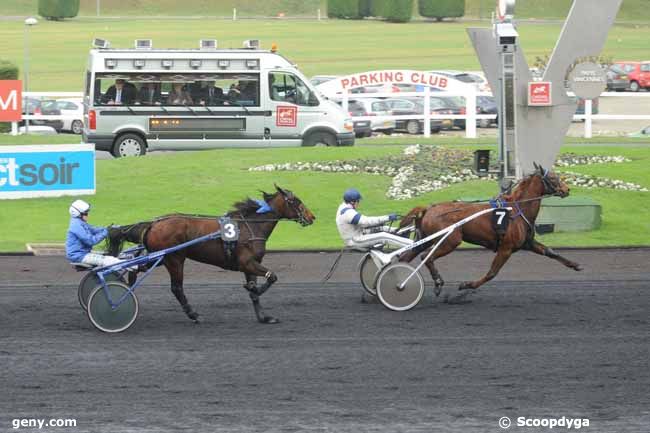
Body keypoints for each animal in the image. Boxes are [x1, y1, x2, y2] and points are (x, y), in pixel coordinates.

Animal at [398, 164, 580, 302]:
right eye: (553, 178)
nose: (567, 189)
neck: (518, 209)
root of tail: (429, 208)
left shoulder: (527, 243)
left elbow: (550, 251)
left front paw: (574, 264)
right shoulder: (506, 248)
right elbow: (492, 273)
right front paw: (466, 286)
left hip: (426, 239)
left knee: (405, 258)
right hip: (450, 240)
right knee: (426, 257)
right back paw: (437, 283)